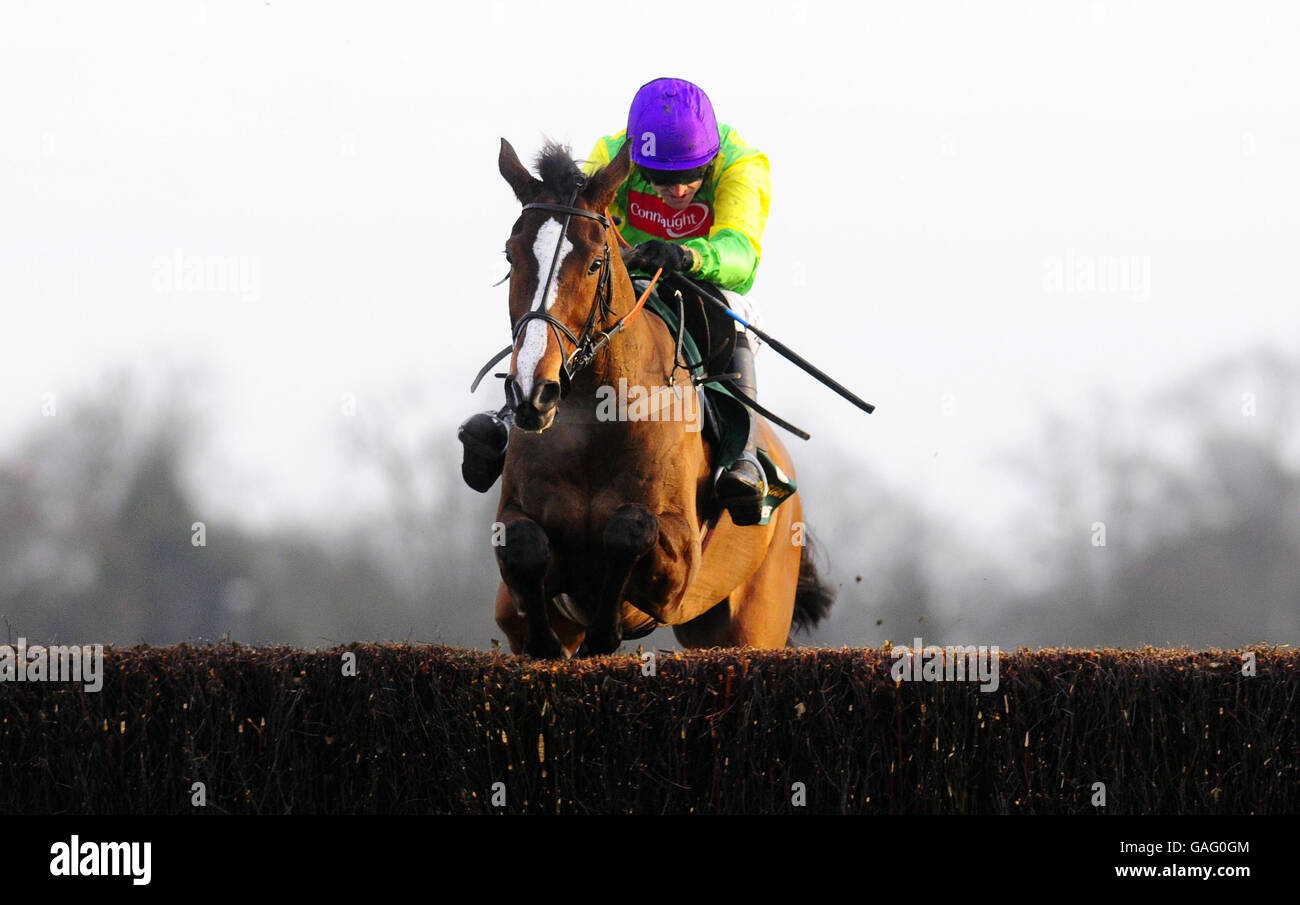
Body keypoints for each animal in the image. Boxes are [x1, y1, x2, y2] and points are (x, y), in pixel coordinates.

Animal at [488, 135, 832, 657]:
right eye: (511, 256)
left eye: (594, 262)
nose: (533, 392)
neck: (594, 425)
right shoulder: (515, 570)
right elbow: (523, 545)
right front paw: (548, 641)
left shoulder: (680, 563)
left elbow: (630, 527)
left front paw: (604, 633)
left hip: (753, 622)